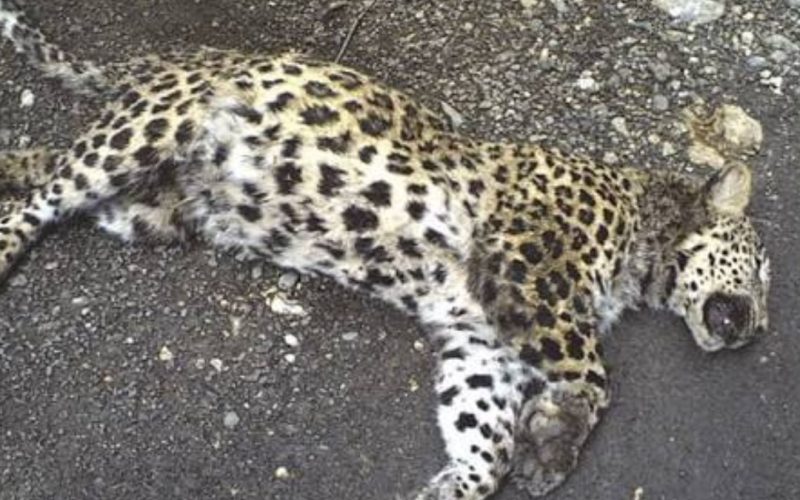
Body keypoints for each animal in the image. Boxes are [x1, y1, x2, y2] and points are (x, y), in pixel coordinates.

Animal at [0, 2, 772, 499]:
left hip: (144, 208)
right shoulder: (531, 257)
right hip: (145, 133)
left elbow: (483, 432)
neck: (642, 233)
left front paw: (465, 479)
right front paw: (556, 437)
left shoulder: (482, 339)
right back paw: (4, 248)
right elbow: (594, 370)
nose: (758, 329)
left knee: (37, 164)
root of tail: (158, 62)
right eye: (764, 270)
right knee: (39, 198)